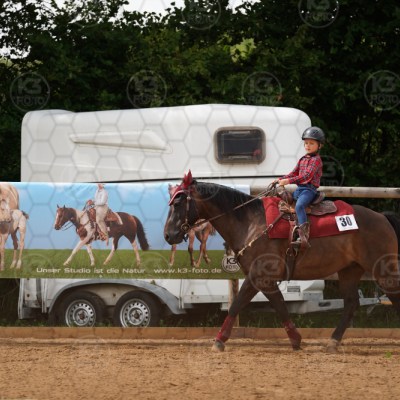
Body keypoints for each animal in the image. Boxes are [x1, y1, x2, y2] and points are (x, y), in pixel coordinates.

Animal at [164, 171, 400, 353]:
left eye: (178, 202)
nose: (168, 235)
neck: (250, 221)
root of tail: (382, 217)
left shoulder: (259, 276)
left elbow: (237, 305)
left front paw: (219, 341)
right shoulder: (264, 279)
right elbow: (279, 306)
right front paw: (296, 340)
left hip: (383, 271)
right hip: (350, 271)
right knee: (351, 304)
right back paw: (332, 342)